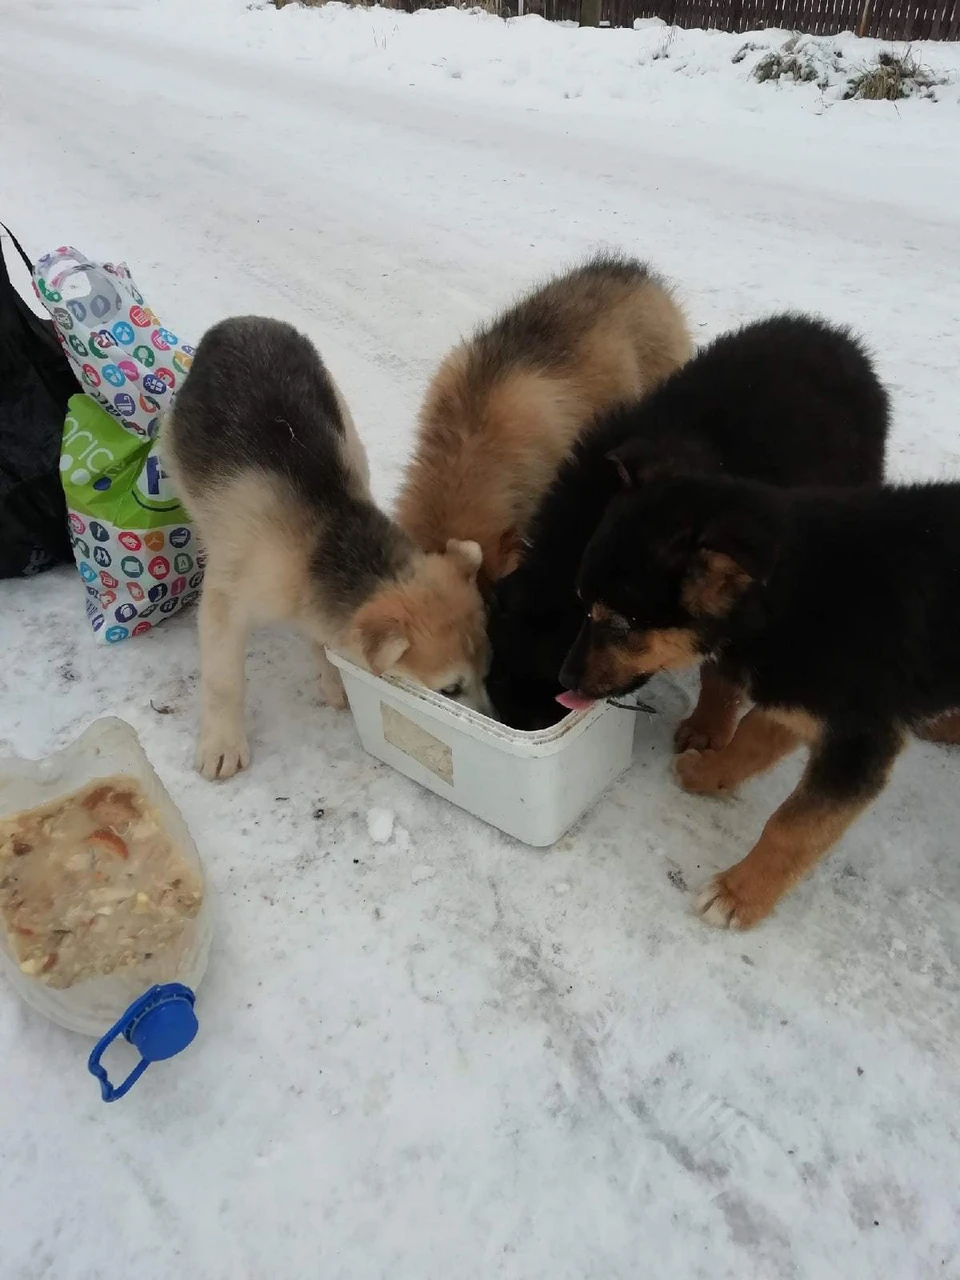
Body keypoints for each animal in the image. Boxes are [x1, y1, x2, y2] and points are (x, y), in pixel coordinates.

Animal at [560, 476, 960, 936]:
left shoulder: (857, 744)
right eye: (583, 607)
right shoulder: (797, 702)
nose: (564, 681)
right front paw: (706, 773)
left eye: (620, 625)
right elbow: (748, 739)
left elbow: (791, 827)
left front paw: (737, 895)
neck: (797, 598)